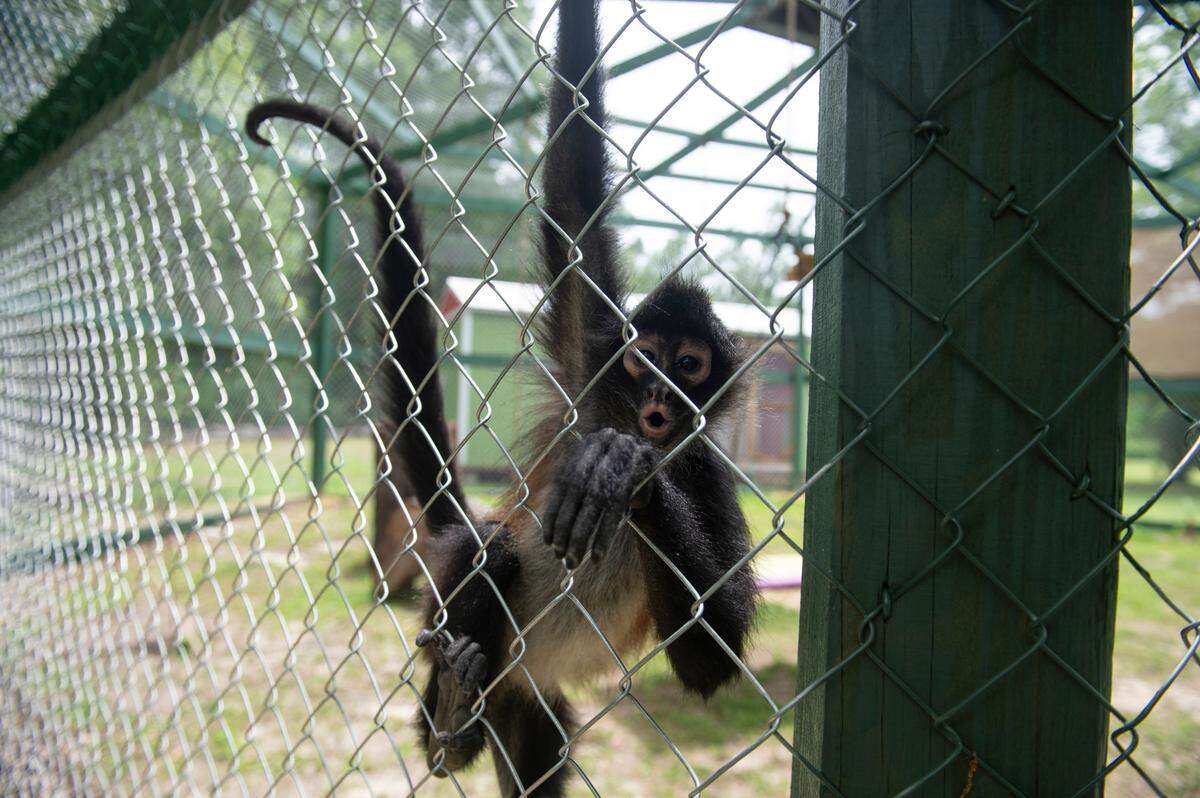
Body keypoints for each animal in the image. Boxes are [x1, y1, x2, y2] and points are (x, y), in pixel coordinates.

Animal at [245, 1, 758, 794]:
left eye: (690, 364)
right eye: (648, 358)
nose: (660, 395)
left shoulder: (705, 469)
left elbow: (712, 657)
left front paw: (627, 472)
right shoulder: (589, 366)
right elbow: (574, 193)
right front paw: (616, 459)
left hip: (533, 704)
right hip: (457, 630)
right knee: (485, 546)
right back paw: (448, 724)